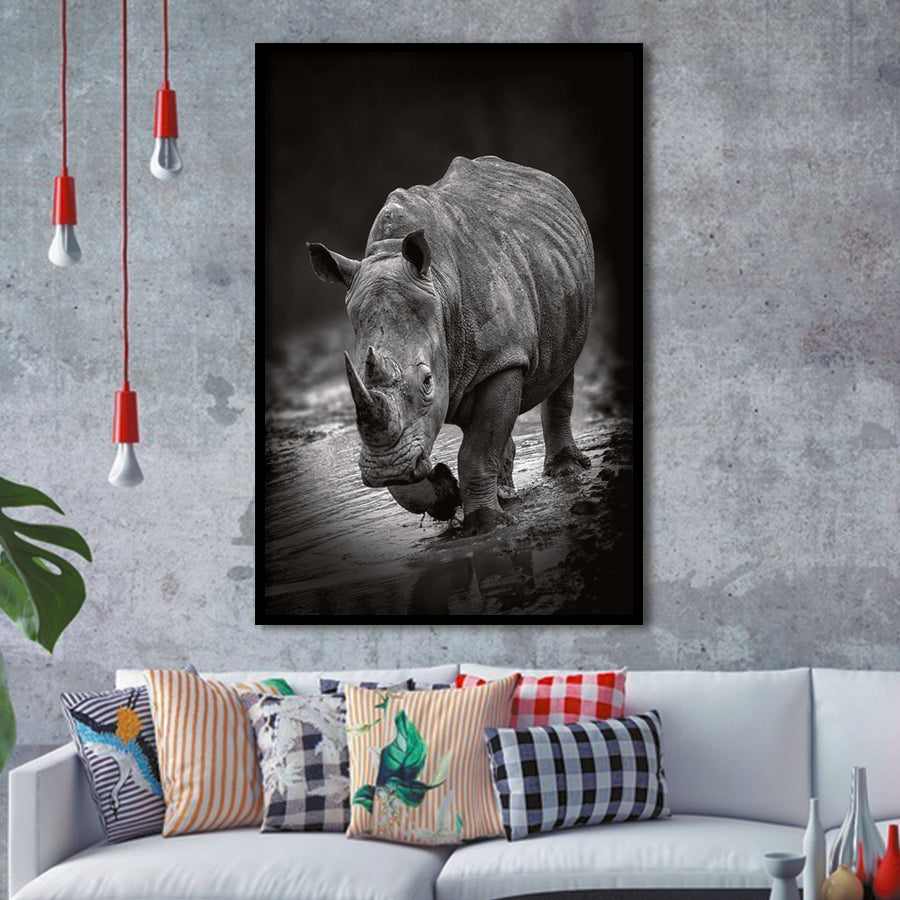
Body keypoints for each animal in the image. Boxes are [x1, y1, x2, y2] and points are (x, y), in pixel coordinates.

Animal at [308, 155, 594, 535]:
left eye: (427, 382)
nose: (386, 468)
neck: (440, 291)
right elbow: (416, 470)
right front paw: (444, 492)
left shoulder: (502, 360)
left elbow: (476, 451)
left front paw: (486, 525)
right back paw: (504, 491)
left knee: (563, 365)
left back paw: (564, 472)